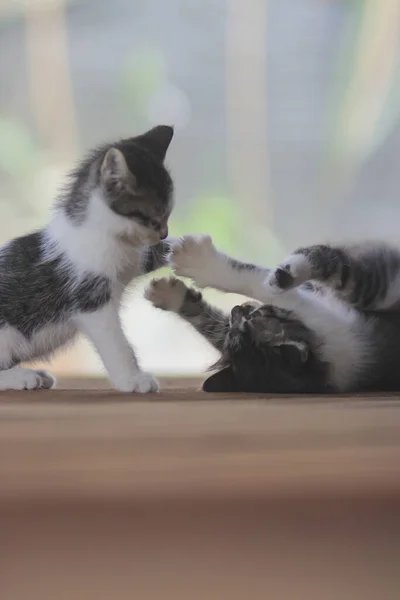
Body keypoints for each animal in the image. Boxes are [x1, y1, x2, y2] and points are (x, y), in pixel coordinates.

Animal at [0, 125, 175, 394]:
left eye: (168, 215)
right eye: (153, 219)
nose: (164, 233)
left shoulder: (134, 259)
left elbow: (153, 254)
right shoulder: (92, 300)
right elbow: (116, 344)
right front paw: (132, 379)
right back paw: (22, 377)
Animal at [146, 234, 400, 394]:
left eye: (251, 315)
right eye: (242, 322)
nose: (237, 309)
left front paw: (178, 283)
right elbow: (256, 285)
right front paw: (182, 282)